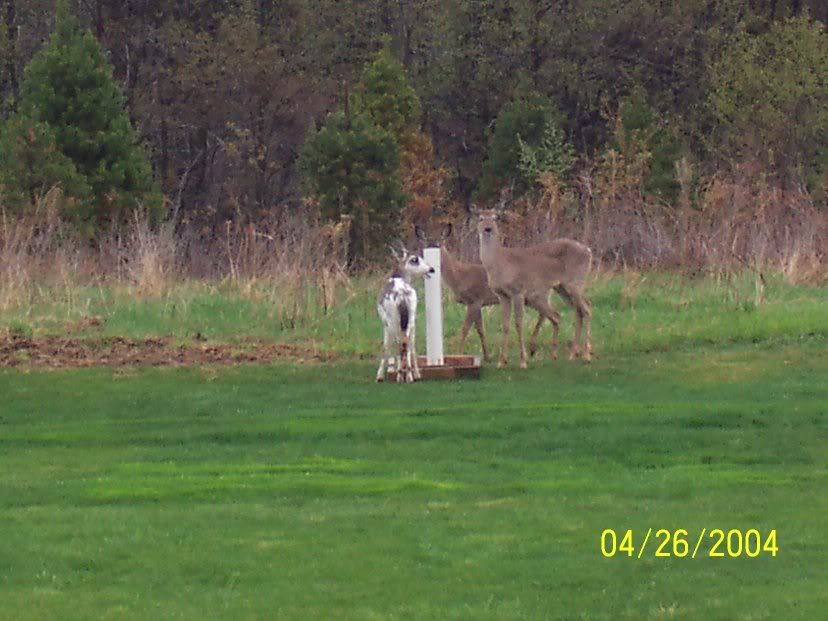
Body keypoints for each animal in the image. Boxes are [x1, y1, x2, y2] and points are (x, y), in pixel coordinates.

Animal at [376, 243, 436, 382]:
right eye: (415, 259)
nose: (431, 269)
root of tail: (401, 295)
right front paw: (415, 374)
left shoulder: (385, 323)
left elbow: (386, 346)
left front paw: (380, 375)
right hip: (411, 318)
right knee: (408, 343)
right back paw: (410, 375)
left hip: (393, 321)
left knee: (399, 343)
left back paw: (401, 375)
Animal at [414, 223, 564, 360]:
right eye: (425, 245)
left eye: (439, 245)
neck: (459, 276)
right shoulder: (478, 303)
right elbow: (481, 330)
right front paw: (487, 356)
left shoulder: (474, 300)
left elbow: (465, 328)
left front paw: (459, 353)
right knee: (546, 314)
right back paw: (534, 349)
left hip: (535, 294)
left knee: (549, 314)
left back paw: (535, 348)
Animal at [472, 197, 596, 368]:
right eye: (480, 218)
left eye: (495, 217)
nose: (488, 229)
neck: (499, 262)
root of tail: (588, 251)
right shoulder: (502, 295)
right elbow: (505, 325)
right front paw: (501, 361)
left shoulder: (518, 291)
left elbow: (518, 323)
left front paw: (523, 361)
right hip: (562, 287)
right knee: (578, 310)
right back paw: (572, 354)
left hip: (575, 280)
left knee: (587, 308)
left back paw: (586, 355)